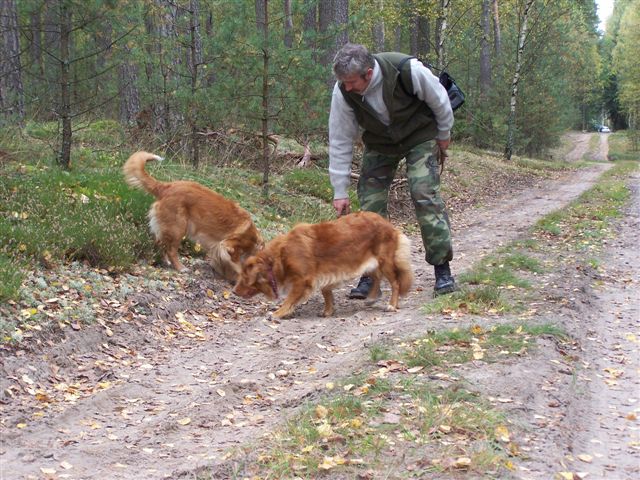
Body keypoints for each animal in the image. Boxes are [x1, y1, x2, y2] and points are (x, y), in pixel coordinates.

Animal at [123, 151, 263, 280]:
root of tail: (166, 187)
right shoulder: (228, 246)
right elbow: (236, 264)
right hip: (178, 228)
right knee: (171, 250)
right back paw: (180, 267)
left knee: (161, 244)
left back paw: (165, 261)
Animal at [233, 211, 414, 318]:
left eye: (244, 278)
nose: (234, 292)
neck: (278, 257)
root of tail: (388, 223)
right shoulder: (324, 274)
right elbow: (326, 293)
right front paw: (328, 310)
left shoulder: (303, 280)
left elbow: (290, 299)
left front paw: (279, 312)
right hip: (371, 262)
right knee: (376, 277)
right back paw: (371, 298)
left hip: (385, 261)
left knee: (395, 283)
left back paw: (392, 304)